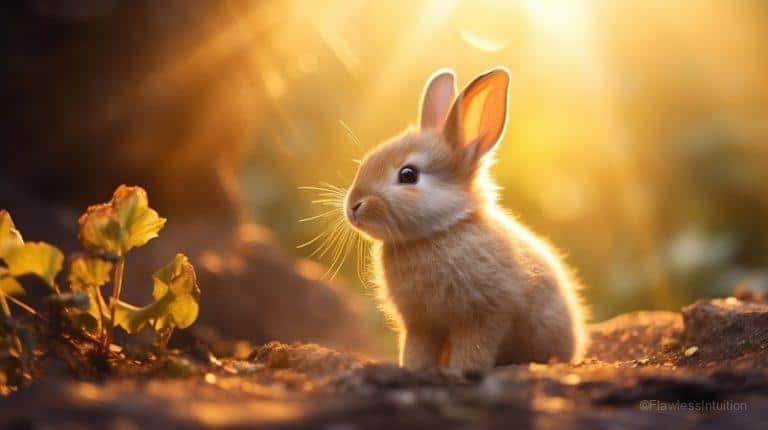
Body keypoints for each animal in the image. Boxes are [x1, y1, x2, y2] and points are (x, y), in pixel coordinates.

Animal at [344, 67, 587, 370]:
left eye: (408, 175)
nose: (353, 206)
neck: (440, 231)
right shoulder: (420, 324)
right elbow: (416, 350)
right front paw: (413, 369)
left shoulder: (483, 317)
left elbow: (473, 349)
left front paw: (459, 372)